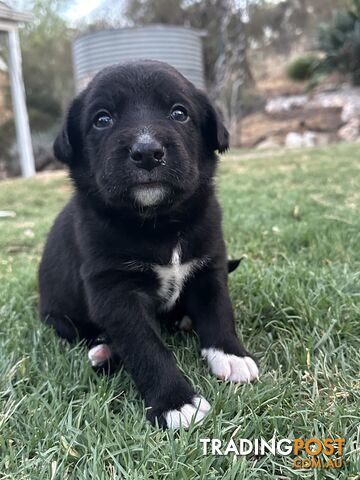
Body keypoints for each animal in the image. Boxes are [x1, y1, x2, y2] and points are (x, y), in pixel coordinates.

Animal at [38, 58, 258, 430]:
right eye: (102, 119)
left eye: (179, 113)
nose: (146, 153)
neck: (159, 223)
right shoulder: (114, 290)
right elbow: (145, 345)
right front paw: (175, 402)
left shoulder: (209, 264)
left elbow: (218, 311)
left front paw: (231, 355)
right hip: (58, 317)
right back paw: (104, 351)